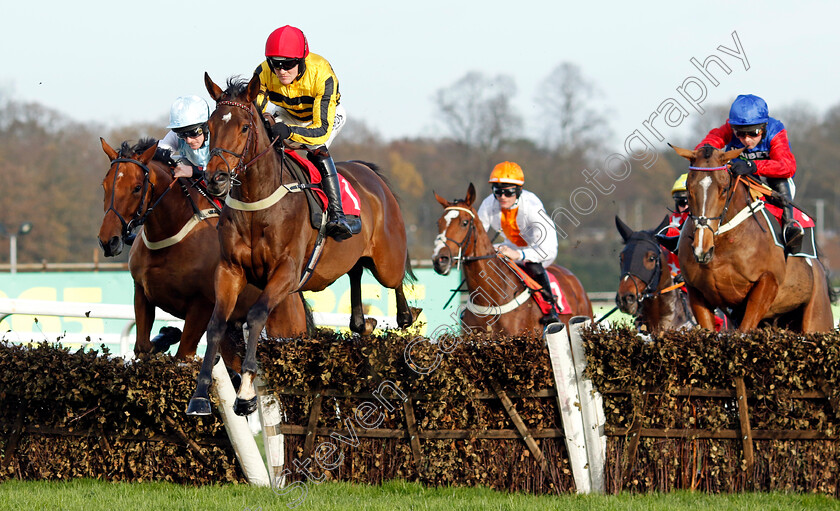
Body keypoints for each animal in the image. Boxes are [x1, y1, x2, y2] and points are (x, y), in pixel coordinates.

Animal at [97, 138, 308, 366]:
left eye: (136, 188)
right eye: (104, 185)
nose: (108, 241)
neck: (170, 236)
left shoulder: (202, 305)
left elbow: (183, 354)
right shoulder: (141, 292)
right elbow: (143, 347)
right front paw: (166, 334)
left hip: (283, 328)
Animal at [185, 72, 418, 416]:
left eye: (244, 127)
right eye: (210, 126)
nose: (216, 179)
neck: (257, 205)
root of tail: (370, 173)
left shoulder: (287, 272)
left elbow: (255, 316)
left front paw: (246, 393)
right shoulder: (229, 270)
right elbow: (216, 324)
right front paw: (200, 395)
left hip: (387, 259)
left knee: (396, 278)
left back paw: (403, 316)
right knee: (356, 273)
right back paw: (361, 323)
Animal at [668, 145, 832, 332]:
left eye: (724, 189)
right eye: (689, 189)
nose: (702, 248)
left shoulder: (767, 283)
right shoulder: (697, 293)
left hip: (816, 318)